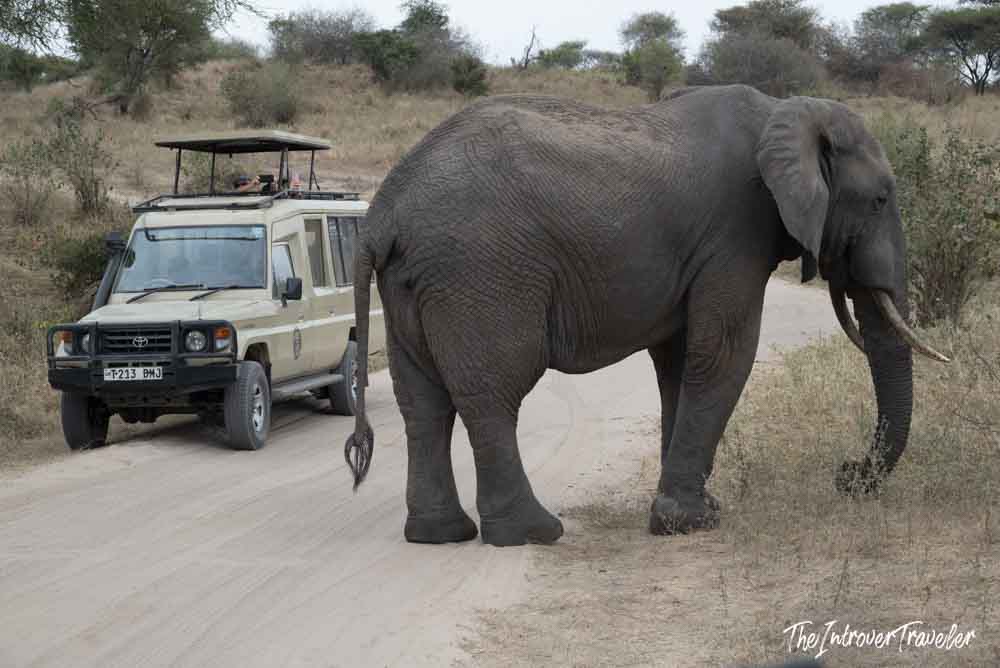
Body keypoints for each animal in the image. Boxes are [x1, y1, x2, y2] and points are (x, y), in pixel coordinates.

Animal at [344, 84, 949, 547]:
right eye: (880, 200)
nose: (846, 475)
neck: (786, 110)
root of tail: (382, 211)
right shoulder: (735, 235)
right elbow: (723, 355)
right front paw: (690, 524)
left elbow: (679, 364)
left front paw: (694, 509)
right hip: (479, 271)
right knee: (492, 394)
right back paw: (533, 532)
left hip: (411, 283)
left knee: (423, 403)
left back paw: (439, 534)